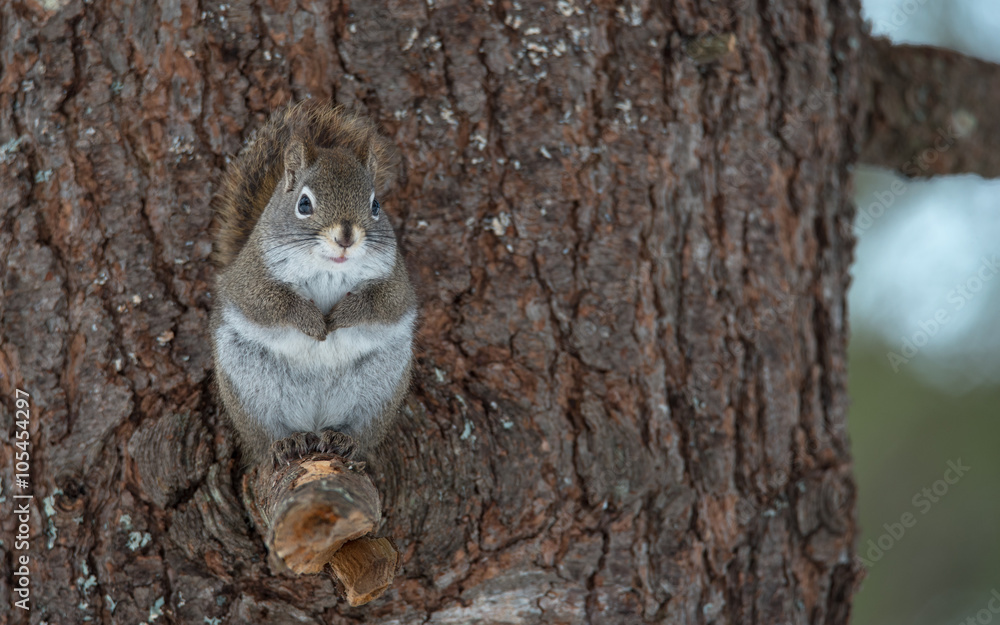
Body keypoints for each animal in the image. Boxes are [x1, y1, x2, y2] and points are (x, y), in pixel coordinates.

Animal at [209, 101, 416, 468]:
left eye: (376, 205)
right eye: (304, 204)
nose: (346, 237)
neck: (329, 267)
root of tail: (314, 424)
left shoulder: (397, 283)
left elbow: (382, 303)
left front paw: (341, 316)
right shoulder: (250, 279)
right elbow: (272, 303)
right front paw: (313, 321)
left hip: (379, 392)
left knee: (360, 435)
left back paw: (344, 441)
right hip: (250, 390)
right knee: (264, 440)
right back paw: (284, 444)